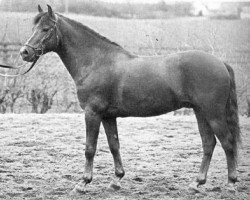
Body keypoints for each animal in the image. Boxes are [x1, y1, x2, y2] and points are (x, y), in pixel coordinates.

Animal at [19, 5, 240, 194]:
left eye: (46, 28)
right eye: (34, 27)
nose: (25, 52)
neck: (97, 62)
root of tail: (221, 63)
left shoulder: (92, 113)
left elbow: (90, 148)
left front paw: (83, 183)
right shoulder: (108, 116)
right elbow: (114, 145)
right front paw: (116, 180)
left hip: (213, 114)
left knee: (227, 143)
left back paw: (230, 184)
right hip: (200, 112)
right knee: (209, 144)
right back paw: (196, 183)